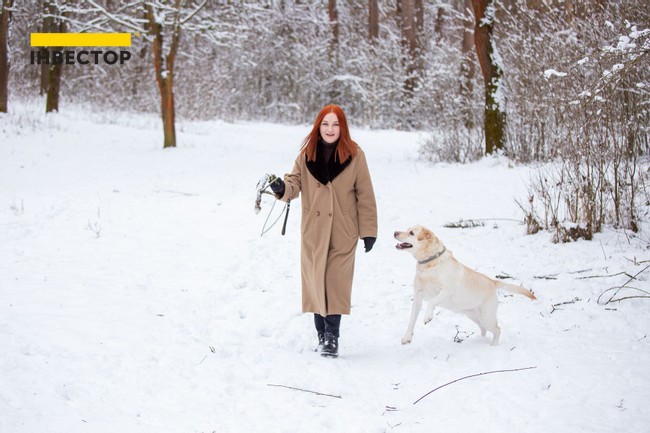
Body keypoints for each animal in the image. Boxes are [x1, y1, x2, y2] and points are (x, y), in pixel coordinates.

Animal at [392, 226, 536, 344]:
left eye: (411, 233)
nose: (395, 232)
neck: (429, 264)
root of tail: (492, 282)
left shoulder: (446, 291)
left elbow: (432, 302)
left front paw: (428, 317)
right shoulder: (418, 296)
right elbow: (411, 319)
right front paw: (407, 338)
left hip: (486, 317)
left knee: (497, 329)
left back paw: (493, 345)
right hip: (473, 315)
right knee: (483, 328)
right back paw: (480, 340)